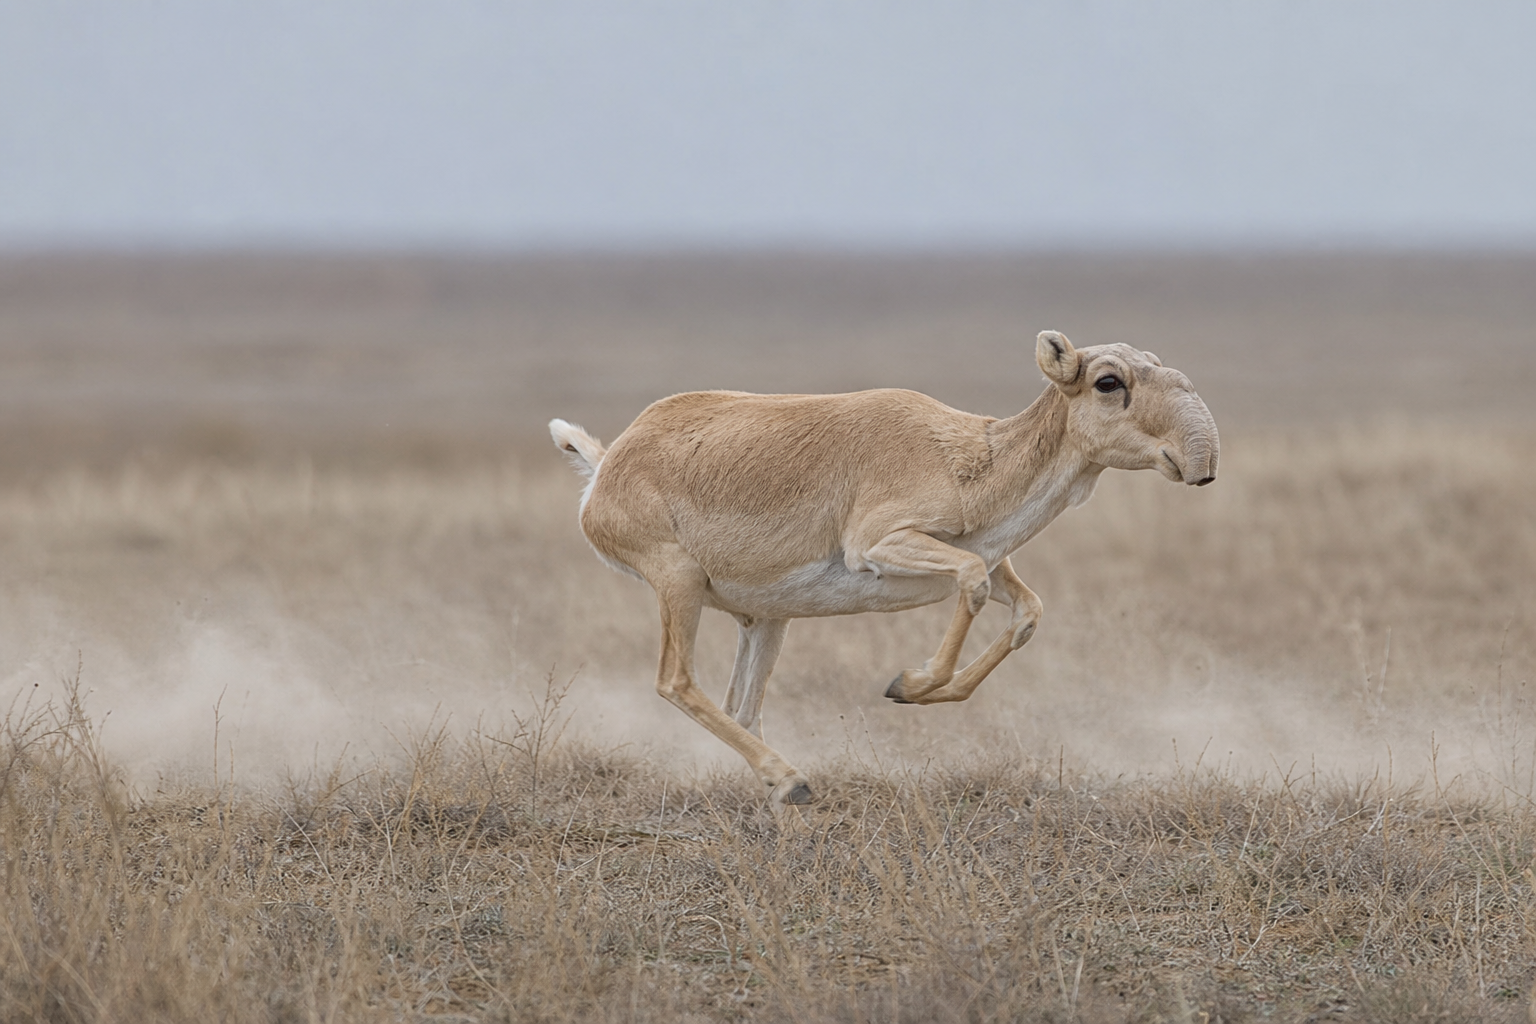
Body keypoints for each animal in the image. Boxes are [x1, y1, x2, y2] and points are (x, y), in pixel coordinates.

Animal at [550, 331, 1218, 807]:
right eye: (1108, 381)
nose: (1201, 466)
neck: (974, 459)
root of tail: (606, 465)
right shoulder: (882, 543)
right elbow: (972, 583)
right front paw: (911, 682)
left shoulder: (989, 555)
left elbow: (1026, 609)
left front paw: (921, 686)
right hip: (679, 583)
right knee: (677, 682)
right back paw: (791, 781)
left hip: (767, 618)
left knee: (741, 704)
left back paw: (779, 791)